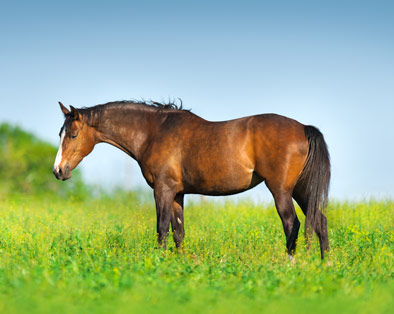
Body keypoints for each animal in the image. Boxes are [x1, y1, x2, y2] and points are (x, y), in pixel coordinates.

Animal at [51, 100, 330, 258]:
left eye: (73, 135)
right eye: (60, 133)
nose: (58, 171)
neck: (154, 132)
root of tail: (303, 128)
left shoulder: (162, 190)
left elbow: (162, 229)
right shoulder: (178, 193)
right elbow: (178, 232)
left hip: (281, 190)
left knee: (292, 224)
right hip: (301, 190)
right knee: (320, 221)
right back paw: (325, 265)